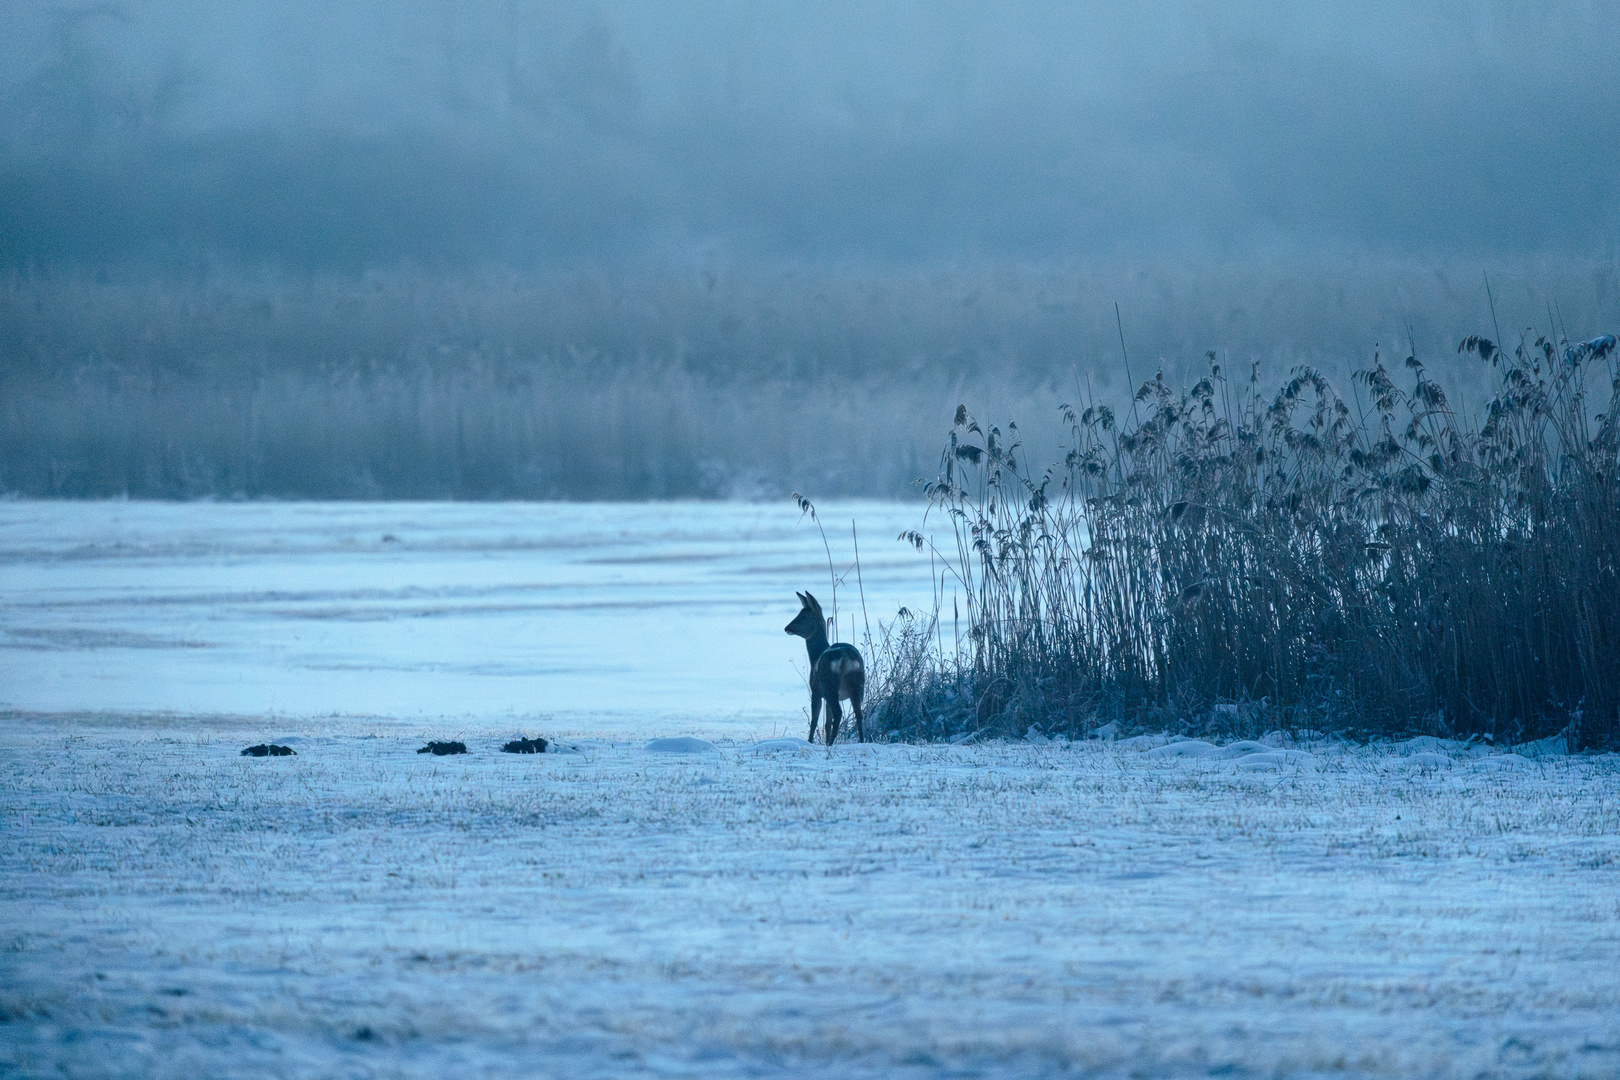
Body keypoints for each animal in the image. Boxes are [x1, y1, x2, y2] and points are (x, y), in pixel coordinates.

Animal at [787, 592, 868, 744]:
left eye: (804, 616)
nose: (787, 628)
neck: (816, 655)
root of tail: (845, 658)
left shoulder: (816, 690)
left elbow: (815, 720)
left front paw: (810, 741)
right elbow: (827, 722)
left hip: (829, 685)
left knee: (839, 712)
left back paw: (831, 743)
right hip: (858, 684)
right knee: (859, 713)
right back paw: (861, 741)